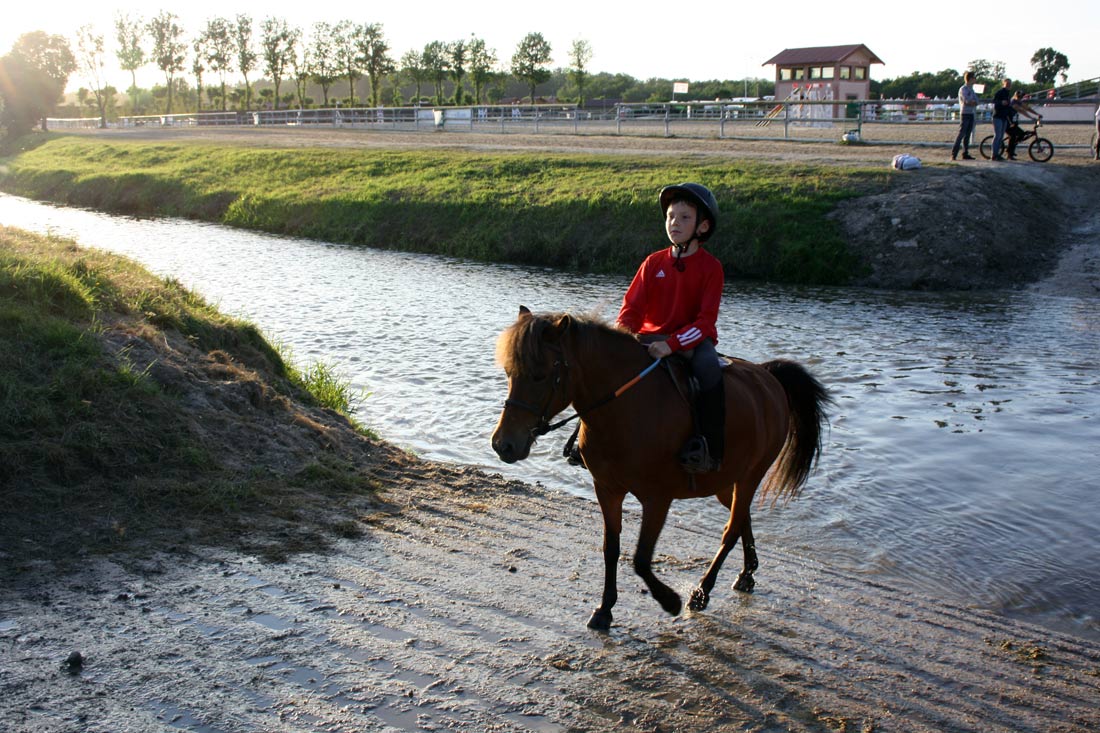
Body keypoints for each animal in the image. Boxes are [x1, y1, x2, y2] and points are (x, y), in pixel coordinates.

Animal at [492, 303, 831, 629]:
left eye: (539, 375)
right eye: (509, 372)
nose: (503, 444)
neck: (625, 409)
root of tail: (766, 376)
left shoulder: (657, 498)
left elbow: (641, 559)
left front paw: (669, 601)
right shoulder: (607, 489)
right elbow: (611, 548)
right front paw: (604, 610)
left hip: (751, 475)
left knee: (732, 529)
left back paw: (702, 591)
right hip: (725, 481)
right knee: (741, 518)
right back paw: (747, 574)